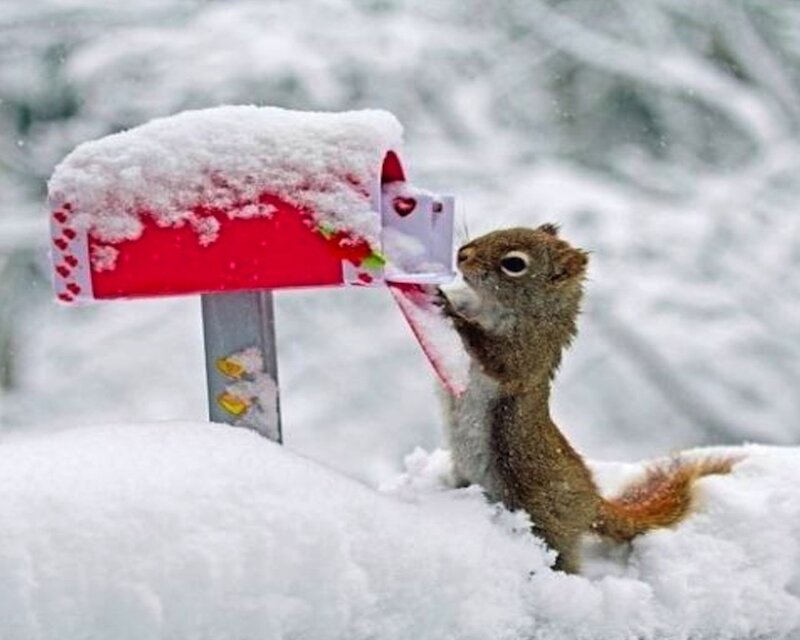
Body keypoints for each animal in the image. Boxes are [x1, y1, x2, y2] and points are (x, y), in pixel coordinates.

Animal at [437, 224, 737, 574]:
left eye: (514, 264)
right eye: (500, 229)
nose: (462, 254)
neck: (496, 308)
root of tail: (591, 501)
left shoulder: (529, 354)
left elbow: (497, 357)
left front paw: (450, 310)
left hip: (546, 517)